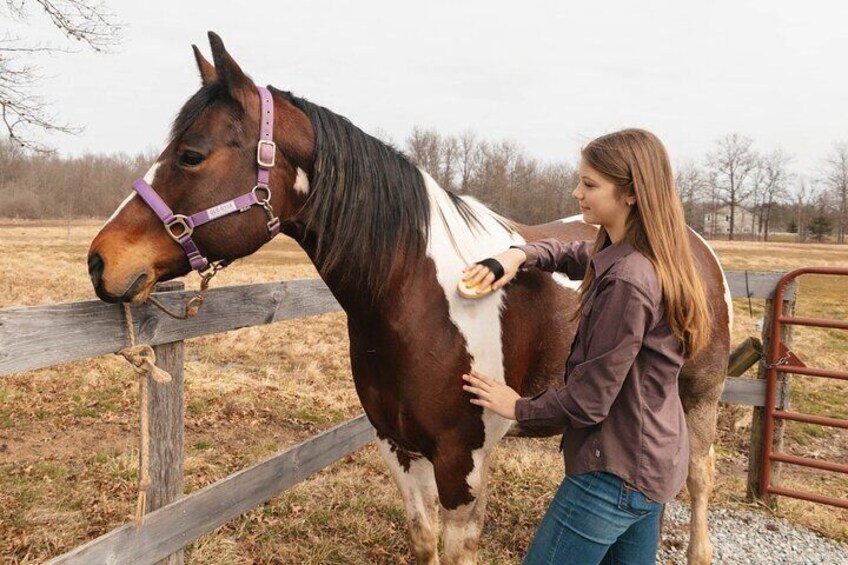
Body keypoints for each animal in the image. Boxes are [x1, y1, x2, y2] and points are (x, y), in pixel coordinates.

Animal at [89, 33, 732, 560]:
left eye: (191, 155)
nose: (101, 261)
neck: (417, 297)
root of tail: (691, 241)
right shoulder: (397, 445)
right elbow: (423, 540)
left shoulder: (462, 459)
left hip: (698, 394)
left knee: (699, 474)